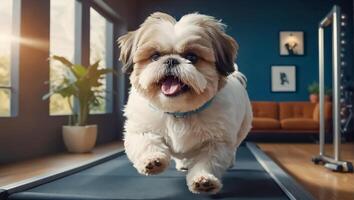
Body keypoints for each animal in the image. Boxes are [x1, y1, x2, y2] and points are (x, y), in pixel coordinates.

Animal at [117, 12, 253, 194]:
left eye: (191, 57)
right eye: (155, 56)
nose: (171, 60)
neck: (179, 112)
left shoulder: (216, 142)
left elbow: (208, 161)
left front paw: (204, 180)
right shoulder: (141, 128)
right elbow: (147, 141)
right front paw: (152, 160)